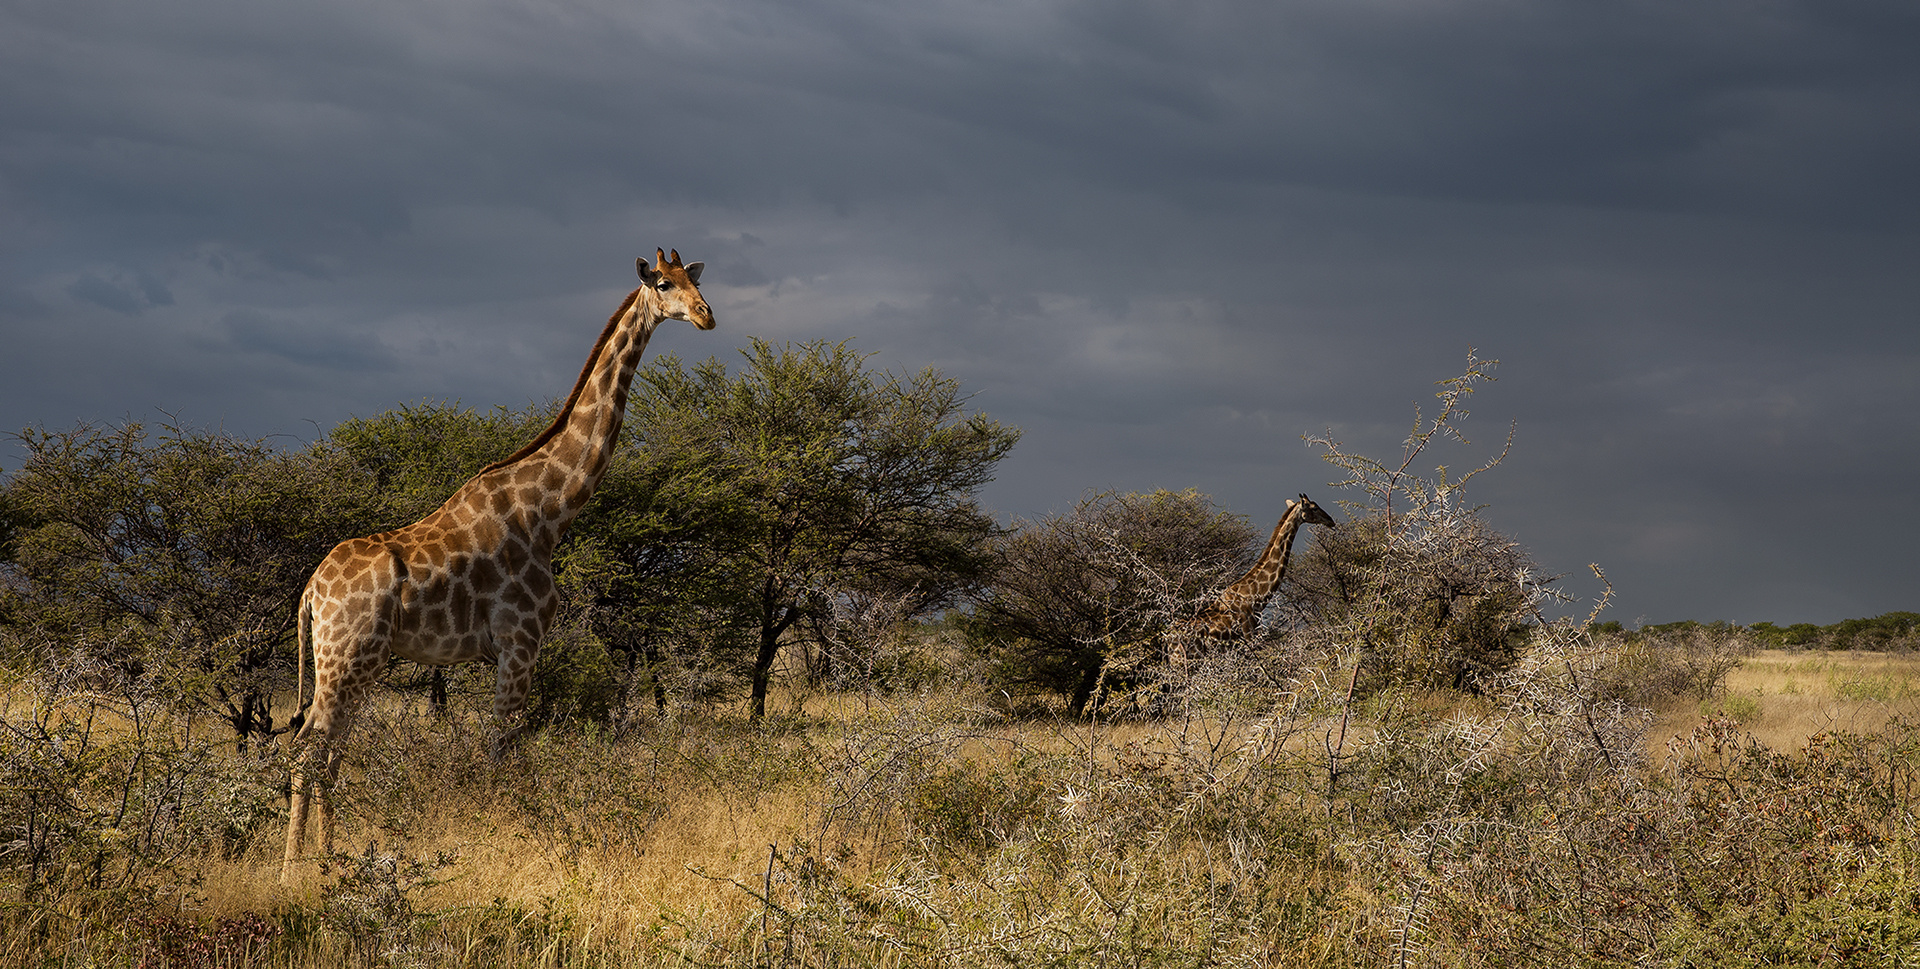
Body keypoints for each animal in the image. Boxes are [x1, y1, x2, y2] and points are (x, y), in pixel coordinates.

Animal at [280, 249, 710, 874]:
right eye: (662, 284)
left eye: (694, 281)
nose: (705, 315)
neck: (550, 511)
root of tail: (311, 592)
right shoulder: (520, 643)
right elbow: (500, 751)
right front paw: (500, 841)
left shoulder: (504, 652)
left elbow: (499, 749)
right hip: (345, 659)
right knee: (306, 751)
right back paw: (293, 871)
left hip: (356, 663)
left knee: (329, 753)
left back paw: (329, 858)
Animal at [1167, 495, 1336, 660]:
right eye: (1314, 508)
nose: (1331, 520)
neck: (1256, 597)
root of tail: (1169, 639)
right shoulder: (1250, 638)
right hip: (1187, 658)